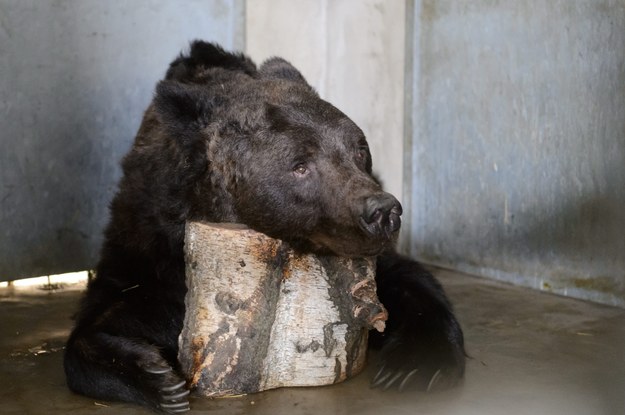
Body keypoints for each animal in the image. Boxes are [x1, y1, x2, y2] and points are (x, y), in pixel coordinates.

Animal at [63, 41, 466, 412]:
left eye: (359, 149)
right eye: (300, 165)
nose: (382, 211)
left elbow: (411, 282)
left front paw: (417, 366)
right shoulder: (150, 249)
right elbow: (107, 317)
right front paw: (160, 379)